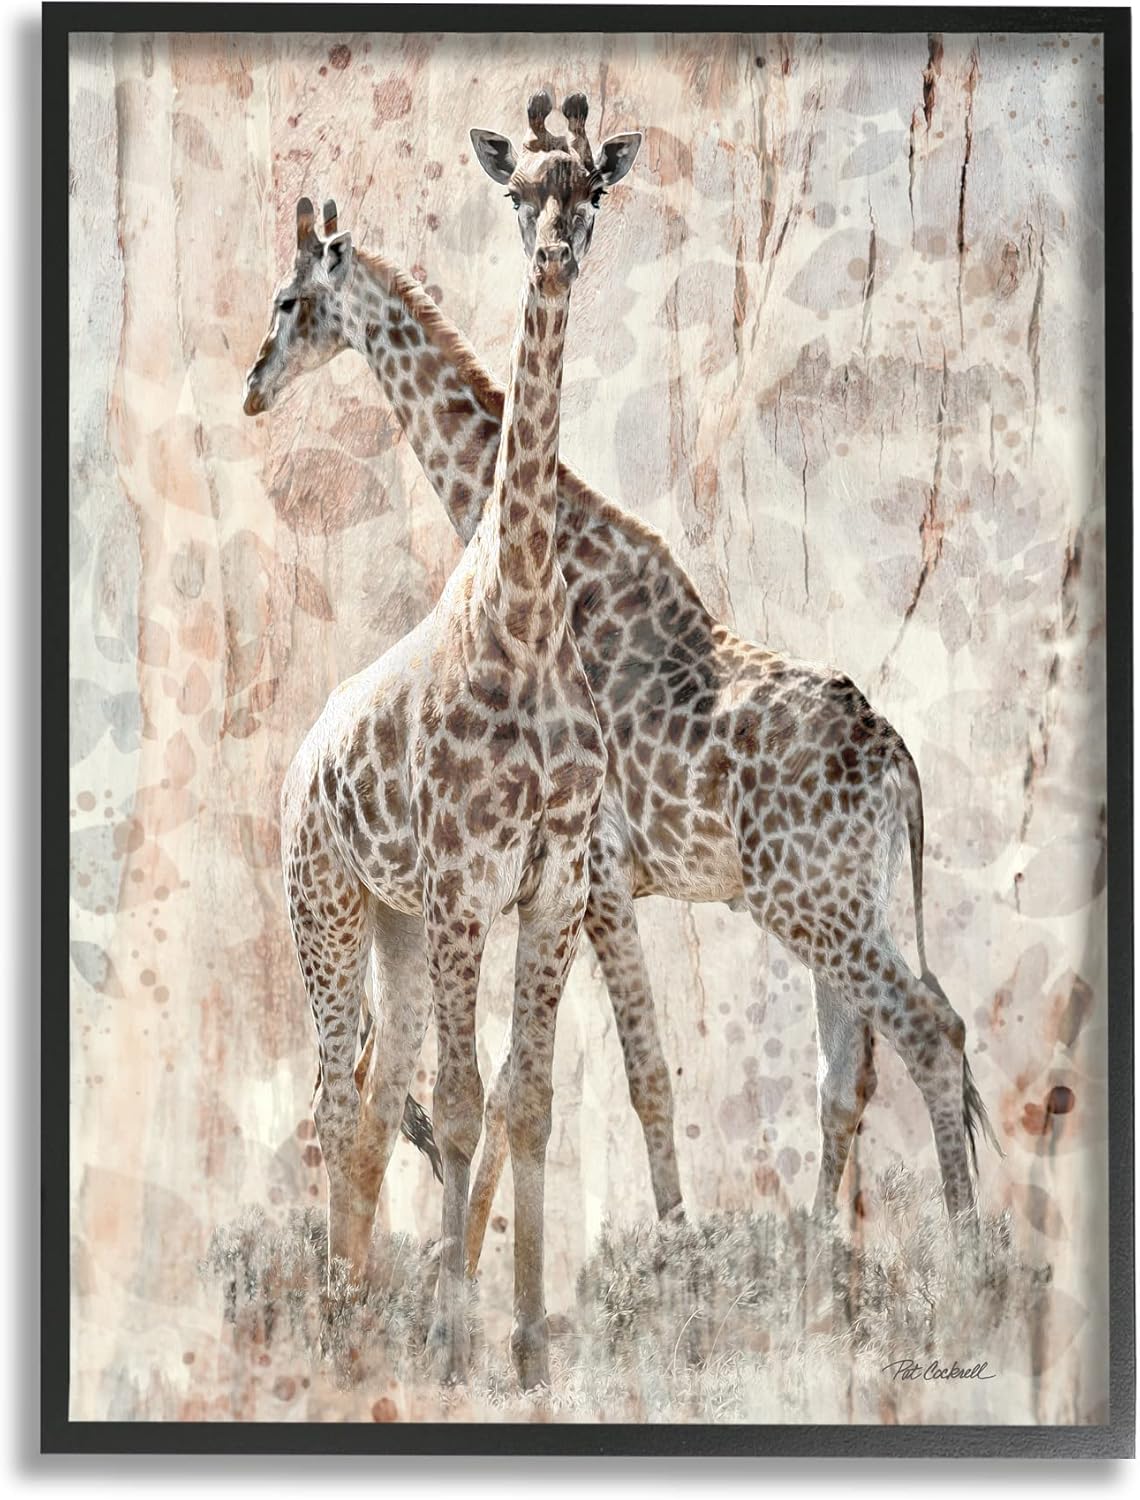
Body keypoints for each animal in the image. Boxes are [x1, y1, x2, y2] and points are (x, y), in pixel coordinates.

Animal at [242, 106, 998, 1270]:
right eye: (516, 194)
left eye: (288, 302)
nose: (254, 383)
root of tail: (902, 765)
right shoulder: (585, 880)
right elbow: (540, 1082)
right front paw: (482, 1260)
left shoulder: (592, 871)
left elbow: (617, 1078)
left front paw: (647, 1258)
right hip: (846, 898)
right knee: (851, 1067)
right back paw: (821, 1258)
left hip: (808, 899)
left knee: (928, 1029)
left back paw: (963, 1261)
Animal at [244, 93, 641, 1388]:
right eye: (516, 190)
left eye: (593, 189)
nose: (556, 252)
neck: (522, 609)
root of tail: (295, 769)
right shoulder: (472, 880)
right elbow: (467, 1105)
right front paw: (462, 1343)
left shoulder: (552, 883)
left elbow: (528, 1104)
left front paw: (523, 1345)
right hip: (326, 904)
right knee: (333, 1097)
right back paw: (338, 1319)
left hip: (399, 927)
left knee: (373, 1101)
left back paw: (362, 1305)